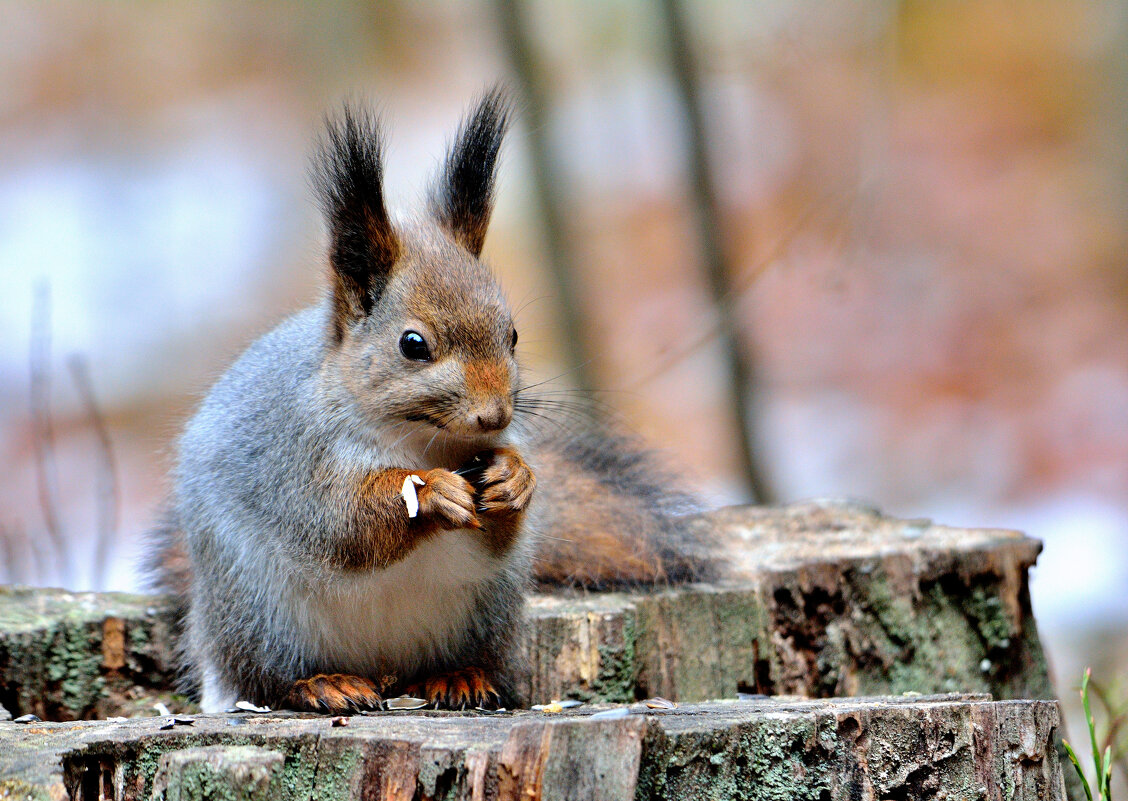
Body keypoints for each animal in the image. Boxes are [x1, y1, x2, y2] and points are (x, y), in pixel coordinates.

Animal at [145, 87, 717, 717]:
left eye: (513, 335)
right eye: (412, 344)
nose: (495, 415)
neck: (424, 440)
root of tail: (384, 667)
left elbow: (498, 531)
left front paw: (516, 478)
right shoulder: (295, 461)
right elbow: (341, 524)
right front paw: (432, 492)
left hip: (488, 608)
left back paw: (457, 677)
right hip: (256, 614)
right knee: (264, 681)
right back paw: (323, 683)